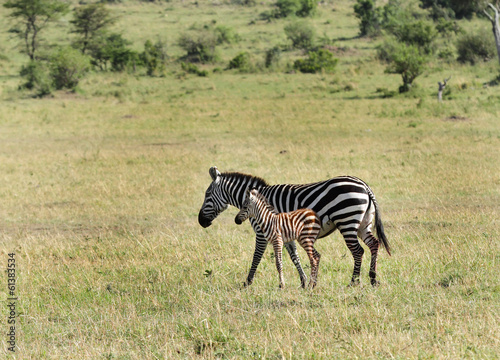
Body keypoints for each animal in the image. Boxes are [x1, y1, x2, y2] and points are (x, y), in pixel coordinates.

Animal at [198, 166, 390, 286]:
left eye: (207, 194)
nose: (201, 221)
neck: (255, 202)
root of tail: (364, 185)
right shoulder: (286, 231)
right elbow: (294, 257)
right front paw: (304, 281)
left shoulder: (261, 232)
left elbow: (256, 256)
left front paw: (248, 282)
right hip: (363, 222)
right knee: (373, 244)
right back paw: (373, 279)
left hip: (347, 220)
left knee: (358, 251)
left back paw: (353, 282)